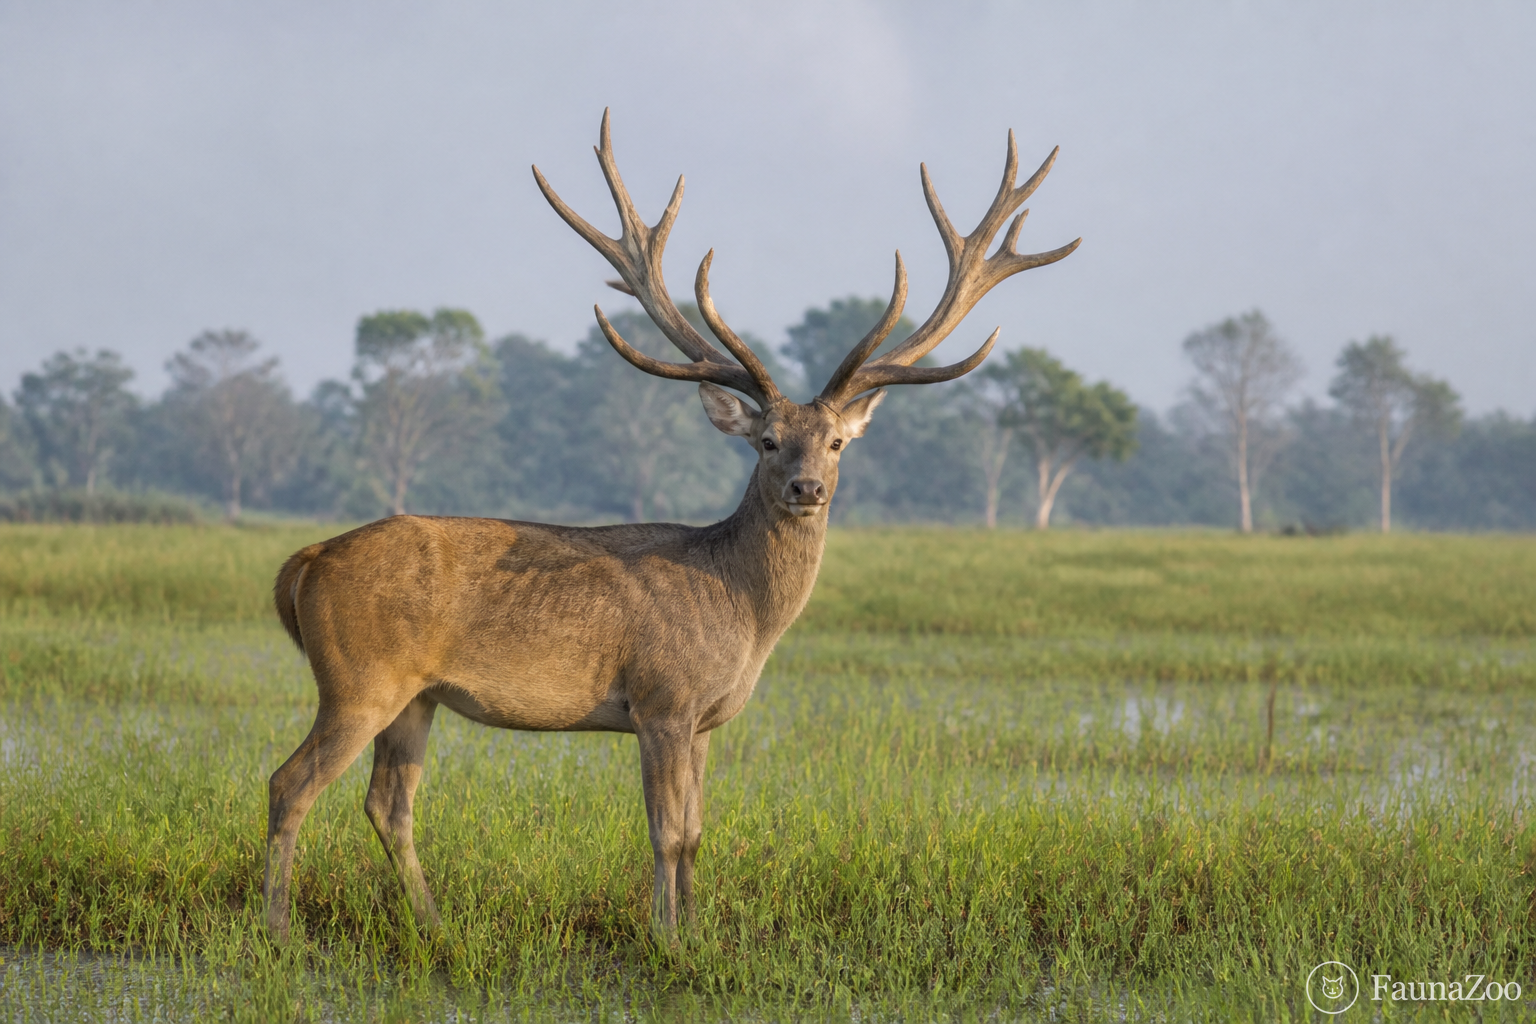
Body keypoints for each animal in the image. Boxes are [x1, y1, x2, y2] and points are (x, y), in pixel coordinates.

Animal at [262, 110, 1079, 942]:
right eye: (767, 441)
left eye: (837, 442)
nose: (807, 488)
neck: (742, 614)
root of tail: (305, 561)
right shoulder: (662, 698)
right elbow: (665, 831)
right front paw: (664, 935)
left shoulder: (707, 720)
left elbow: (697, 831)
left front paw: (695, 929)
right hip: (359, 677)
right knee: (289, 782)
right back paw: (278, 926)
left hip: (415, 696)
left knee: (387, 804)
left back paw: (433, 925)